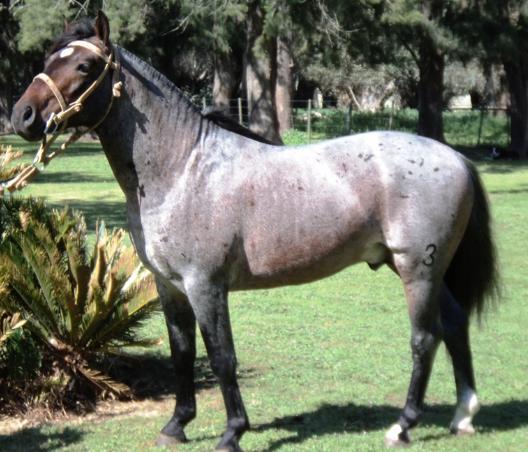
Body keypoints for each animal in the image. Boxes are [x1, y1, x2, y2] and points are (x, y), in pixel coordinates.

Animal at [11, 12, 499, 451]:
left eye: (83, 66)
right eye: (49, 57)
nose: (22, 116)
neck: (183, 167)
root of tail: (455, 157)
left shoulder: (205, 285)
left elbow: (222, 357)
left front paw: (232, 433)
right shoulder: (170, 286)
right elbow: (182, 353)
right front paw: (176, 426)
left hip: (417, 270)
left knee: (425, 338)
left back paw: (403, 426)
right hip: (425, 270)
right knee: (455, 325)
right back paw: (463, 415)